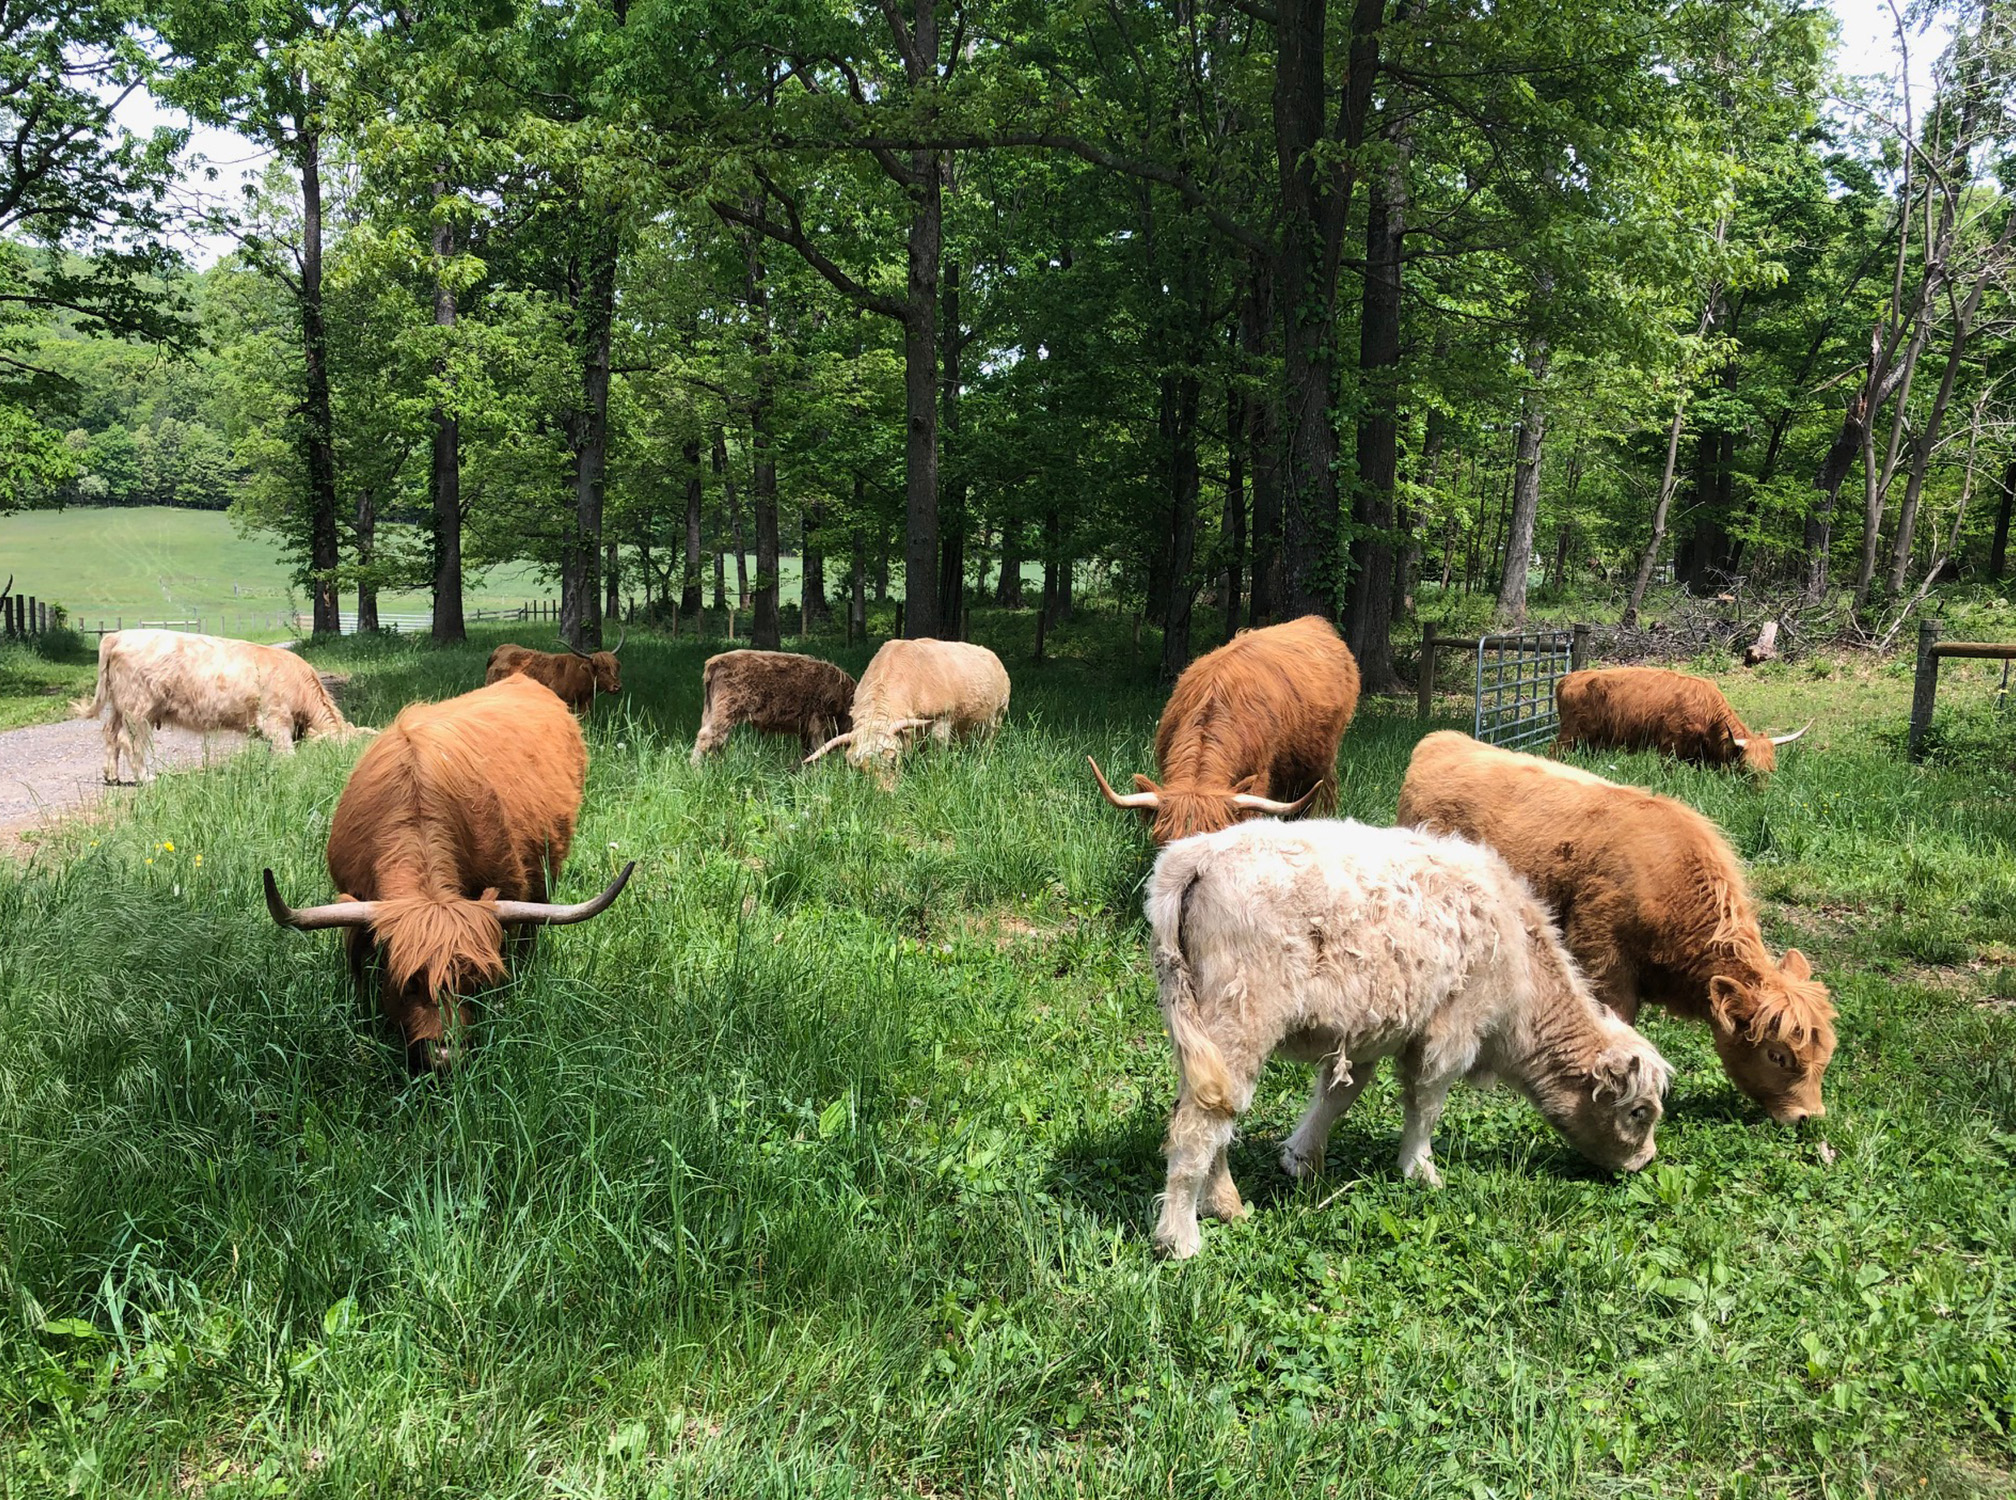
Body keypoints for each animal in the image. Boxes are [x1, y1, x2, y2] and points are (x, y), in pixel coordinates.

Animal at [80, 628, 355, 783]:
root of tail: (118, 635)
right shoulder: (276, 719)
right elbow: (285, 751)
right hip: (139, 707)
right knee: (129, 741)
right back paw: (145, 777)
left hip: (120, 706)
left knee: (111, 734)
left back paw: (112, 776)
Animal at [690, 649, 857, 765]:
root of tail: (715, 661)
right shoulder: (820, 723)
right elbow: (819, 748)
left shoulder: (806, 728)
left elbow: (808, 750)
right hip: (725, 712)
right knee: (708, 737)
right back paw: (696, 770)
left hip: (711, 712)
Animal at [802, 638, 1009, 784]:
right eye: (858, 769)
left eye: (893, 759)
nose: (885, 793)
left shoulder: (941, 722)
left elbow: (936, 759)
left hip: (997, 717)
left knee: (987, 744)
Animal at [1147, 818, 1670, 1260]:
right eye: (1639, 1113)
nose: (1645, 1161)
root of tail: (1197, 855)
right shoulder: (1452, 1033)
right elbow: (1426, 1103)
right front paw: (1420, 1170)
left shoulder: (1363, 1035)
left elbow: (1337, 1096)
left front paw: (1302, 1159)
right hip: (1239, 1022)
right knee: (1198, 1126)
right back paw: (1181, 1238)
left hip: (1204, 1034)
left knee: (1214, 1112)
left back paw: (1225, 1204)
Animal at [1555, 666, 1809, 778]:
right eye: (1747, 770)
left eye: (1771, 770)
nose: (1759, 796)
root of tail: (1568, 679)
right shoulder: (1670, 747)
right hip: (1569, 736)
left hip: (1592, 742)